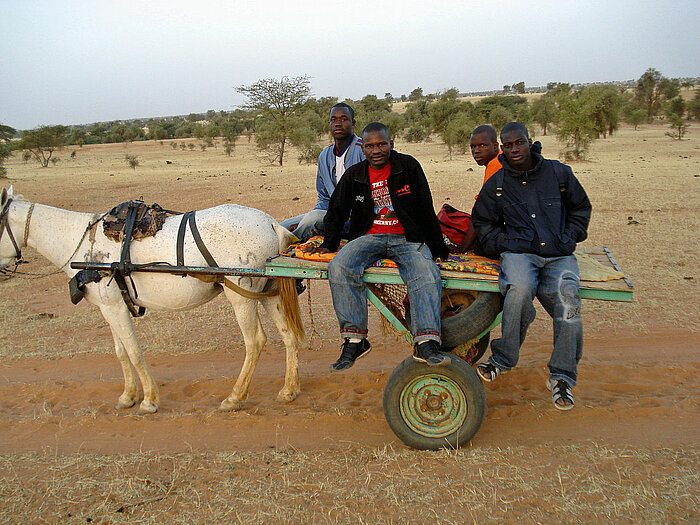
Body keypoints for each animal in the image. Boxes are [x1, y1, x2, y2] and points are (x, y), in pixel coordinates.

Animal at [0, 187, 304, 414]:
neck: (82, 242)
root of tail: (270, 223)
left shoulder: (113, 307)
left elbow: (134, 351)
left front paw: (148, 400)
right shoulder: (110, 306)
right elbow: (120, 351)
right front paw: (127, 396)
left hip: (241, 295)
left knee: (255, 341)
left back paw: (235, 397)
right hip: (268, 291)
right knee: (288, 333)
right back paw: (289, 390)